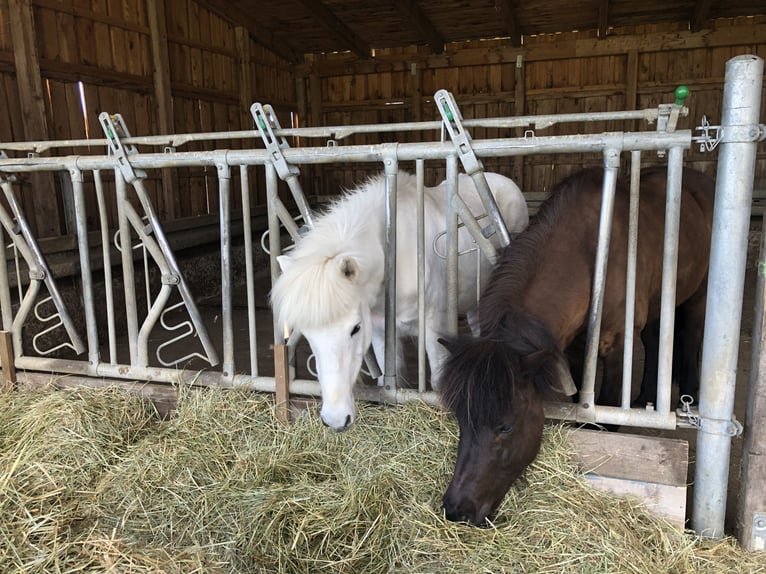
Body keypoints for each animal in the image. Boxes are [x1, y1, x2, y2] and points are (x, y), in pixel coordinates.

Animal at [272, 171, 532, 432]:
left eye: (355, 328)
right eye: (307, 334)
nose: (335, 420)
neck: (396, 256)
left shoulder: (432, 327)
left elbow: (436, 381)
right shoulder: (381, 331)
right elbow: (388, 377)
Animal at [440, 165, 716, 528]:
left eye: (505, 426)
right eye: (461, 419)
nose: (457, 509)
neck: (591, 258)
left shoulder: (616, 348)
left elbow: (606, 415)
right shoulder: (571, 351)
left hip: (698, 295)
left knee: (691, 332)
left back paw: (689, 393)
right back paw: (644, 398)